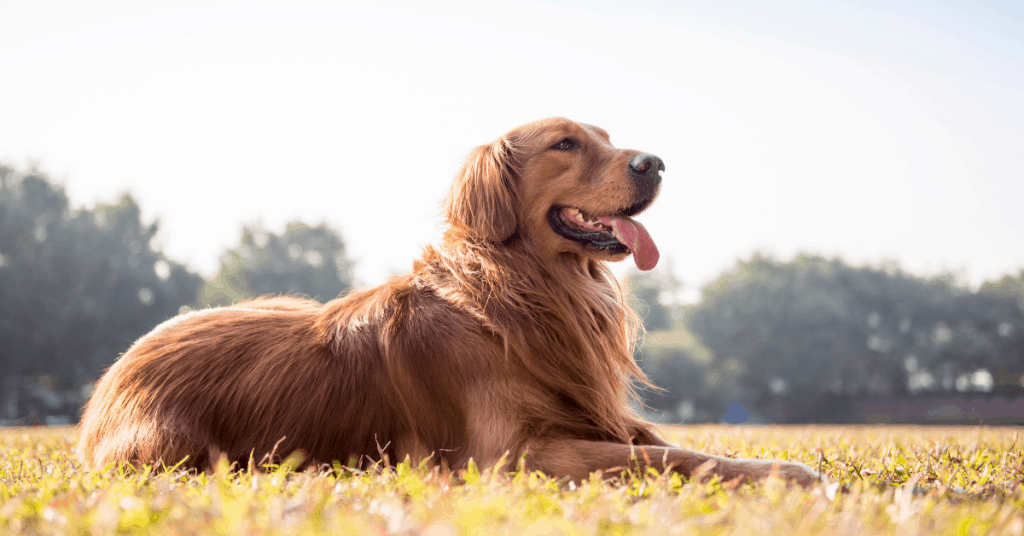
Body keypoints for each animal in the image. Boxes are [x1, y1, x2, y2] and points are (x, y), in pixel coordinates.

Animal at [75, 117, 819, 485]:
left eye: (609, 141)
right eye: (566, 143)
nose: (656, 163)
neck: (529, 292)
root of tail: (110, 380)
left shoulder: (593, 417)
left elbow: (676, 444)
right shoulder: (514, 455)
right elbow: (668, 458)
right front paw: (792, 472)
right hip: (177, 449)